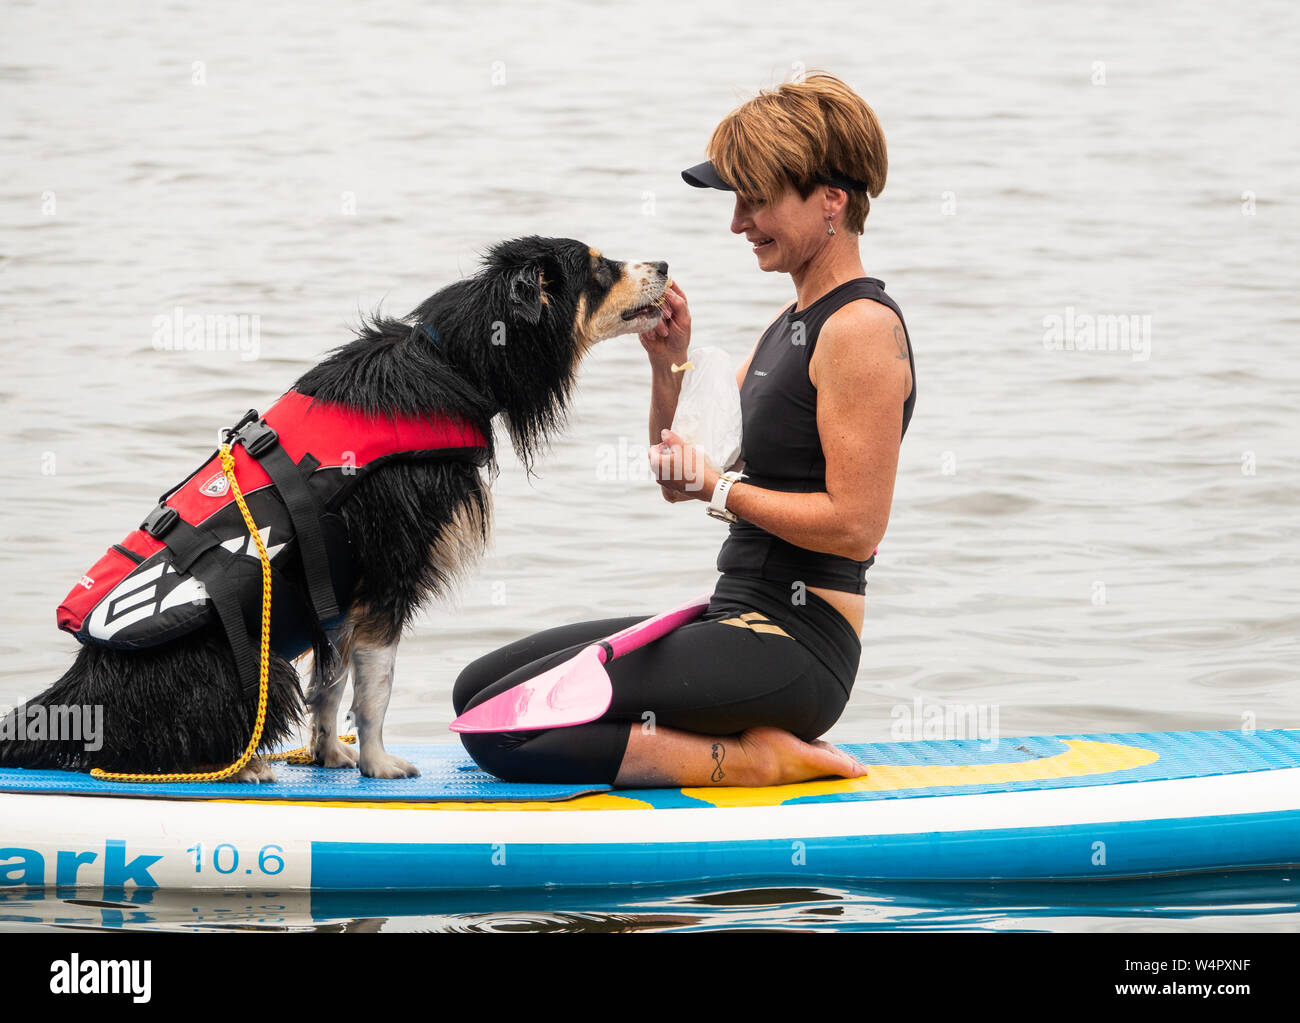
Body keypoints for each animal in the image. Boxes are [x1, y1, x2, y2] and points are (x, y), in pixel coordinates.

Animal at [2, 237, 670, 785]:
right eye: (598, 267)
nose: (663, 264)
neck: (455, 362)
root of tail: (77, 691)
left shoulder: (337, 588)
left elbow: (331, 686)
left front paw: (329, 754)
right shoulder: (388, 575)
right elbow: (376, 687)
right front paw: (379, 763)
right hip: (257, 669)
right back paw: (246, 766)